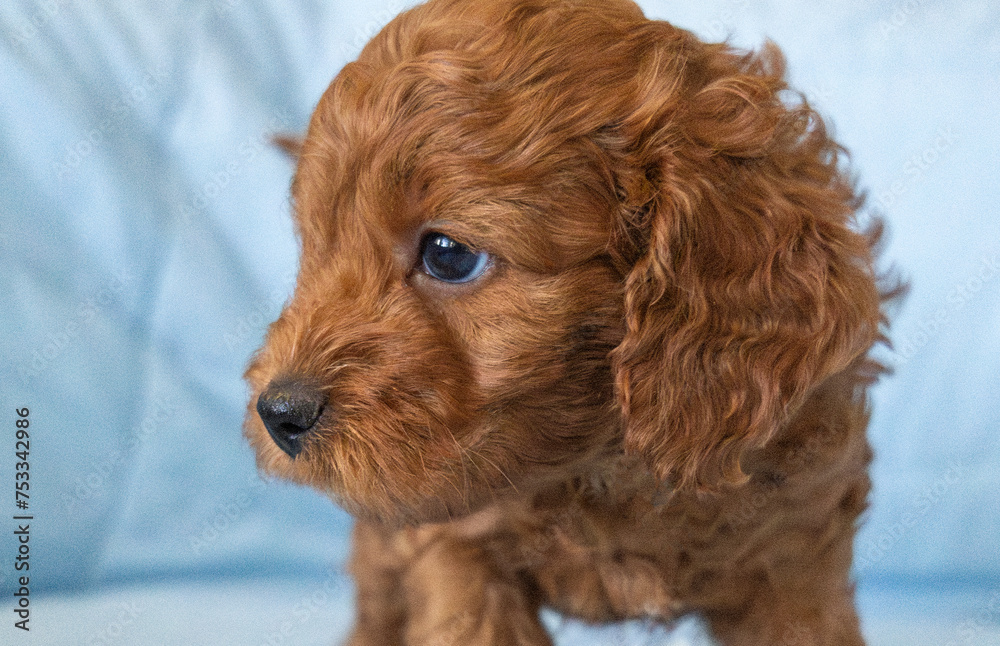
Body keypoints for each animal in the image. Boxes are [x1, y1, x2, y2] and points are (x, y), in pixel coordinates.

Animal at [246, 2, 896, 644]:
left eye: (449, 255)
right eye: (316, 249)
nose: (279, 413)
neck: (597, 463)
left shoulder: (795, 560)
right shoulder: (456, 549)